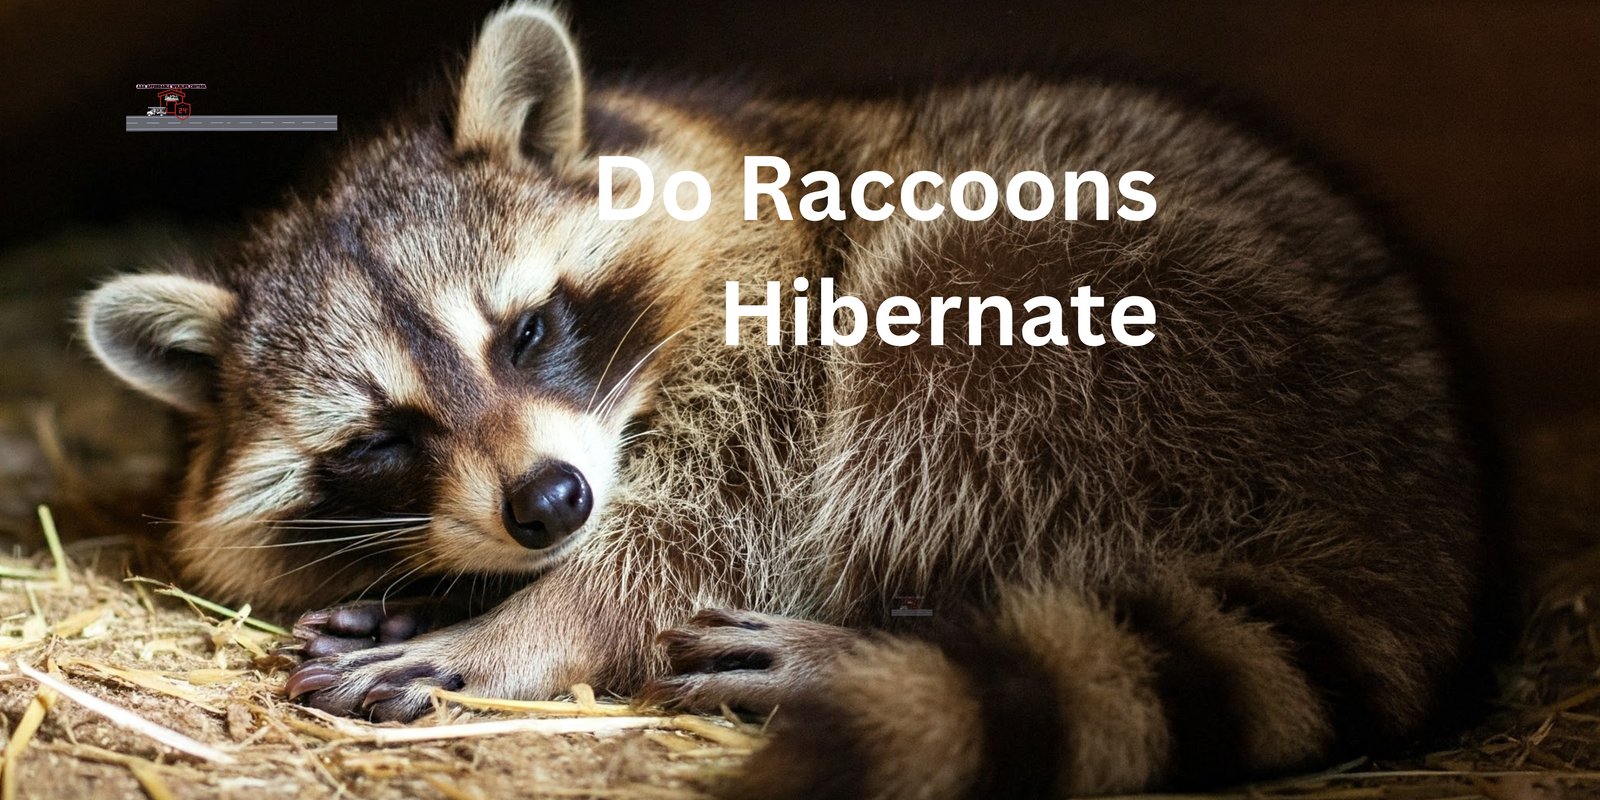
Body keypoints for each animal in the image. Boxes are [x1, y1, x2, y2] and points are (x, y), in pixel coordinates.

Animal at [80, 3, 1485, 797]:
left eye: (527, 330)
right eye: (380, 441)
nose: (547, 503)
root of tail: (1418, 498)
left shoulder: (778, 330)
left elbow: (694, 533)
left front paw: (522, 626)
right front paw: (451, 585)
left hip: (1119, 329)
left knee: (930, 386)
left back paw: (861, 636)